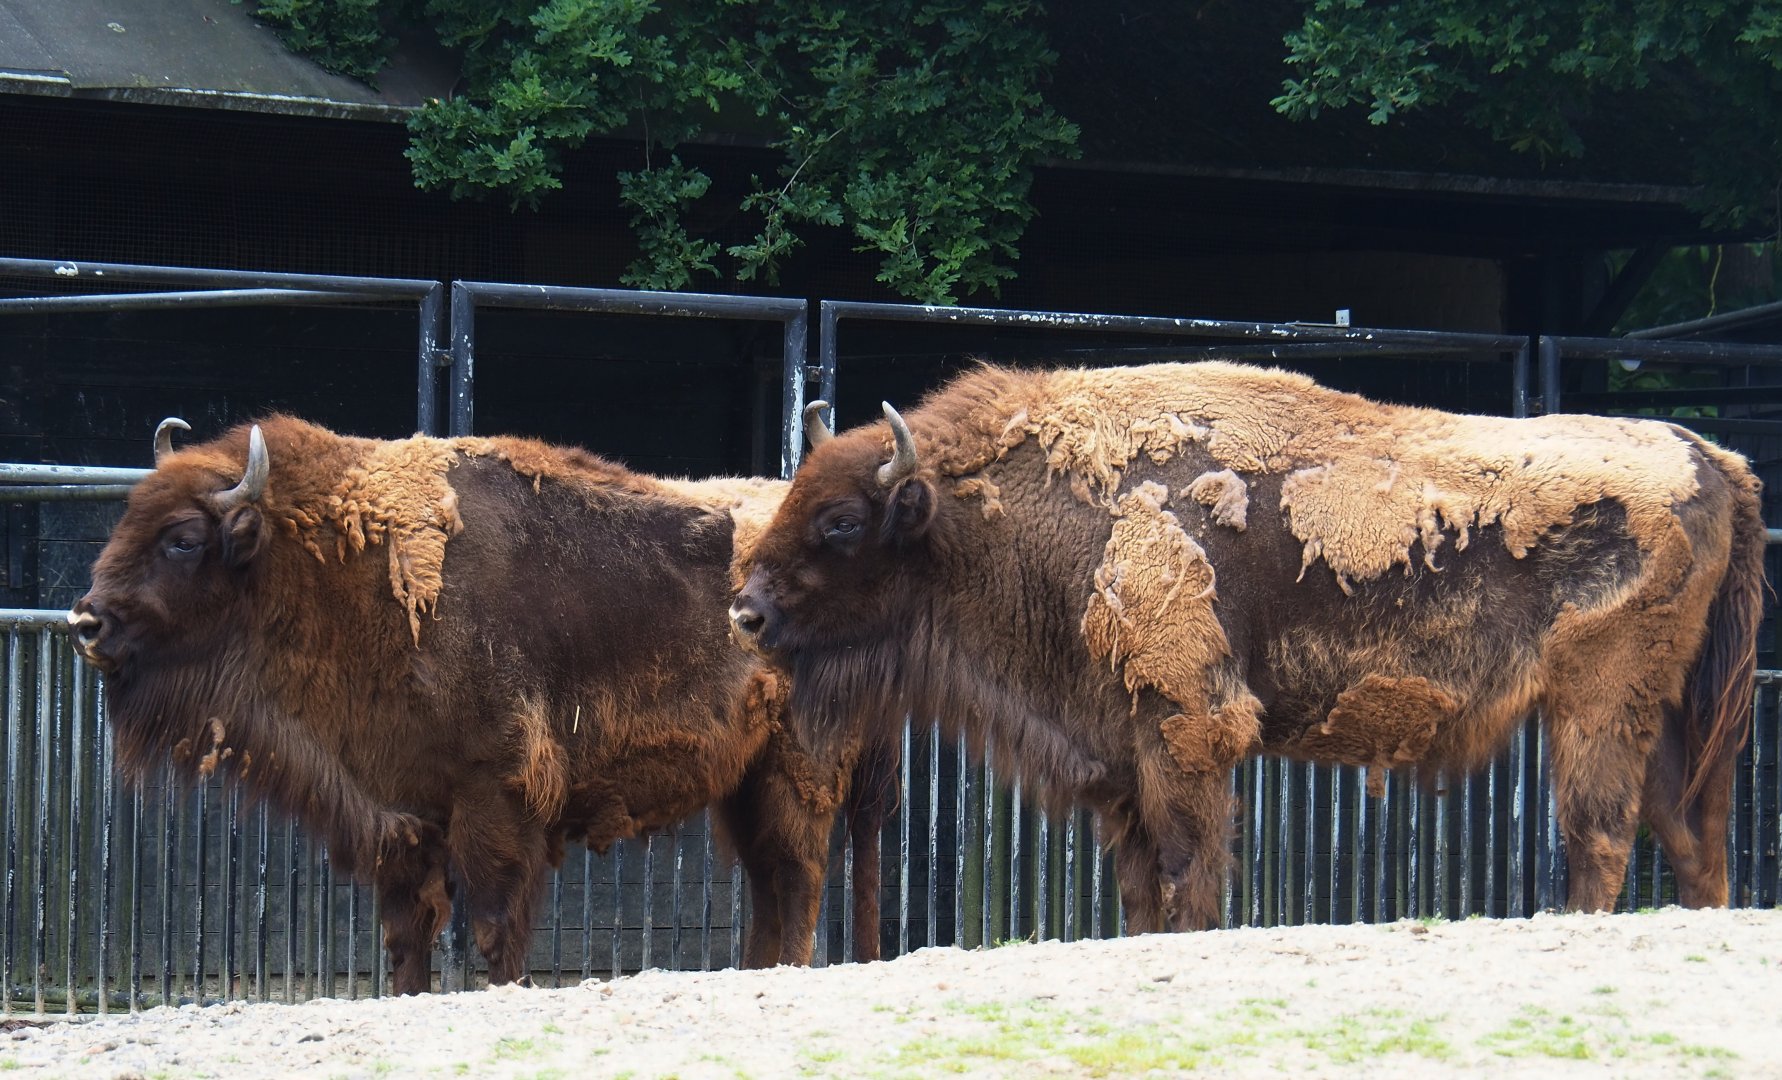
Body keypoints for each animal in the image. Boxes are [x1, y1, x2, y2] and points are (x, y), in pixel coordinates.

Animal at [73, 416, 885, 993]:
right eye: (126, 518)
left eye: (182, 539)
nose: (86, 622)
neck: (327, 564)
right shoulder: (401, 807)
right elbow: (408, 929)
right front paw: (408, 993)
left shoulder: (495, 793)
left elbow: (493, 921)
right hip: (744, 785)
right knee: (768, 883)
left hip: (798, 773)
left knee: (798, 874)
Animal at [731, 361, 1766, 931]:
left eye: (838, 523)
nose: (744, 613)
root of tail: (1712, 455)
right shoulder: (1121, 755)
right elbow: (1139, 885)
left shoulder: (1190, 727)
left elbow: (1189, 867)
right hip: (1669, 711)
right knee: (1691, 832)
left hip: (1599, 701)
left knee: (1601, 830)